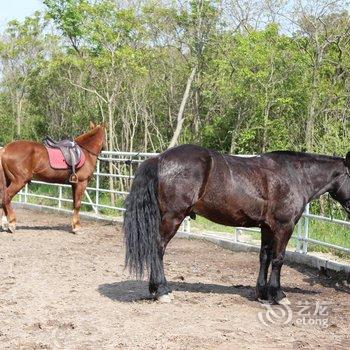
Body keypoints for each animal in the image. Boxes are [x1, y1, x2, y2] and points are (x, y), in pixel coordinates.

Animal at [124, 144, 350, 304]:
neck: (294, 175)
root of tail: (159, 159)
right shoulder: (284, 226)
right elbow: (278, 259)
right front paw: (278, 295)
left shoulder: (267, 228)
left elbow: (264, 257)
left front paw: (262, 293)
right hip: (173, 218)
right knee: (158, 248)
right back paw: (162, 290)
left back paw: (155, 289)